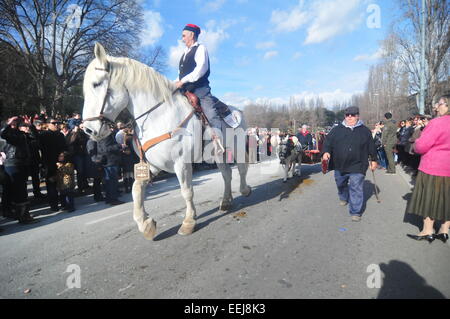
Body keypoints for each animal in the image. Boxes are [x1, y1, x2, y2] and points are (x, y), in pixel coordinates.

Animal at [82, 43, 251, 241]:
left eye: (96, 83)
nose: (88, 129)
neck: (158, 116)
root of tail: (237, 110)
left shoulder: (181, 163)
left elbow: (186, 191)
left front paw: (188, 222)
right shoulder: (152, 165)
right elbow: (136, 189)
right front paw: (146, 224)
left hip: (237, 147)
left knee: (241, 168)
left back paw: (245, 190)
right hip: (217, 155)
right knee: (226, 174)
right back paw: (225, 201)